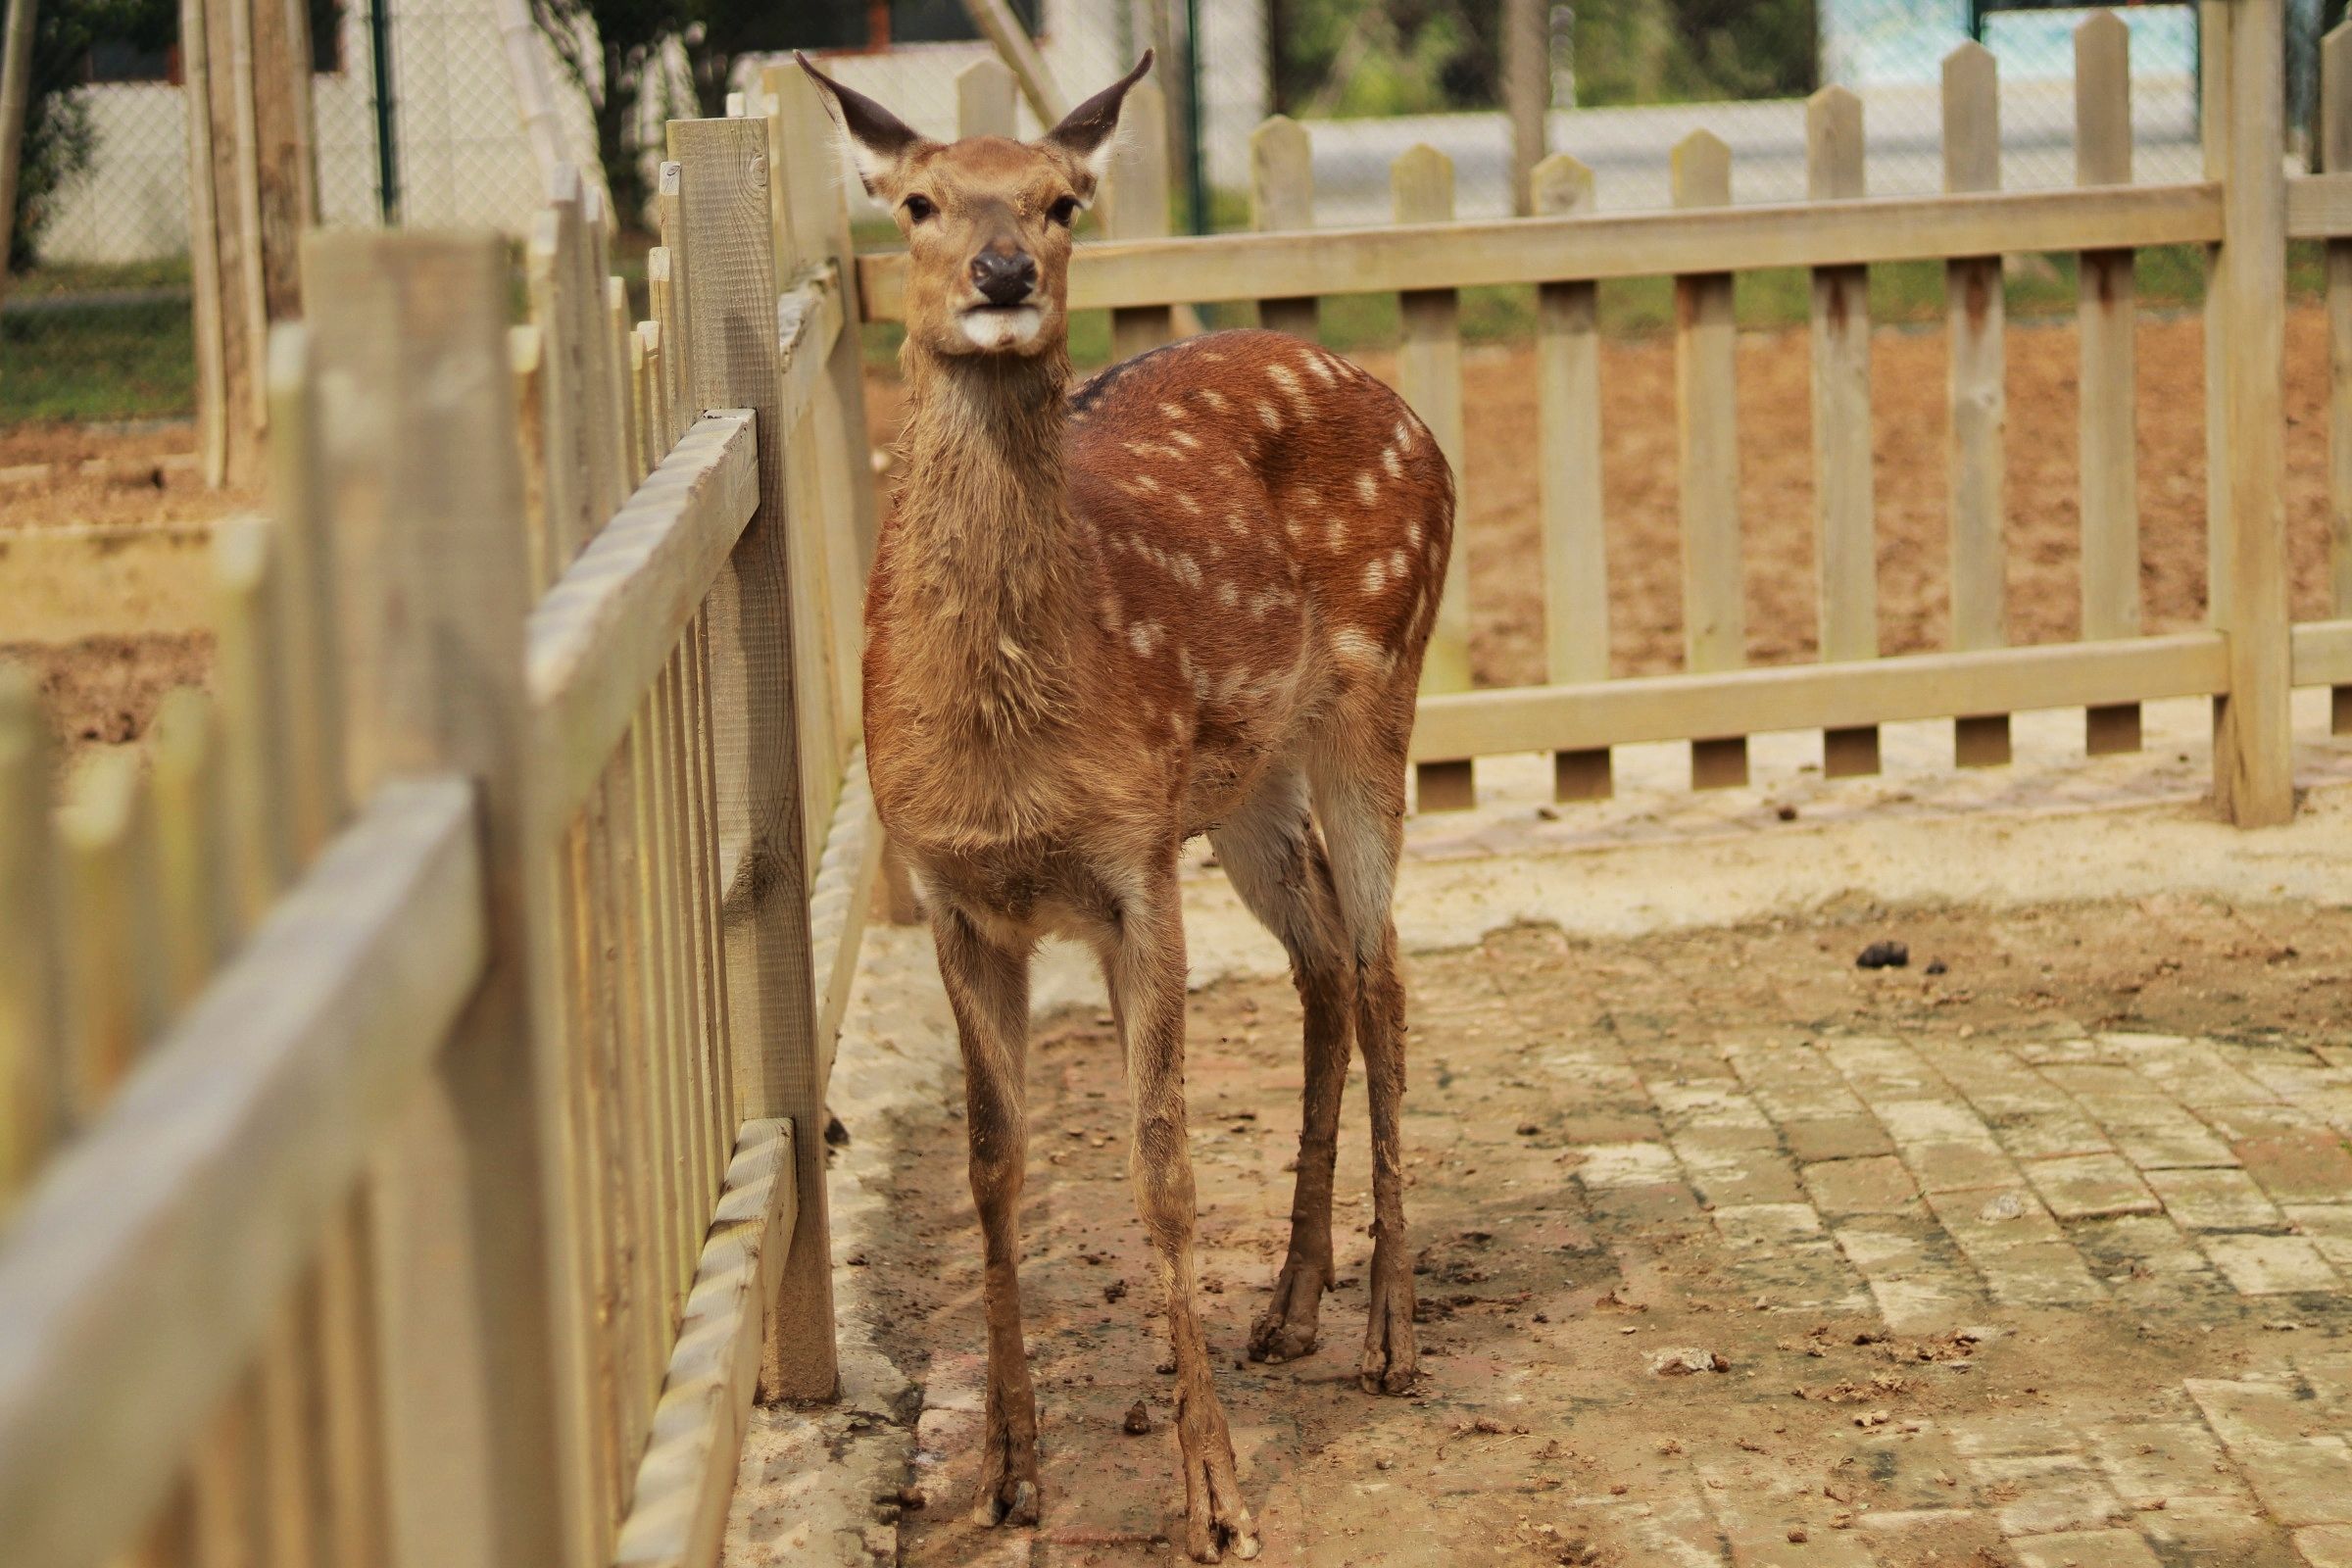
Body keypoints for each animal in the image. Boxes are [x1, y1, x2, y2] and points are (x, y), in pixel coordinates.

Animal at [799, 51, 1456, 1563]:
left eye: (1062, 198)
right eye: (916, 200)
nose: (1001, 271)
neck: (1006, 746)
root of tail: (1415, 420)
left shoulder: (1128, 864)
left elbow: (1161, 1168)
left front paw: (1215, 1500)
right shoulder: (957, 893)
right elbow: (994, 1163)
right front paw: (1007, 1477)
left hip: (1378, 683)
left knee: (1385, 969)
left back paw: (1390, 1337)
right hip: (1245, 786)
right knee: (1324, 961)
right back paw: (1289, 1311)